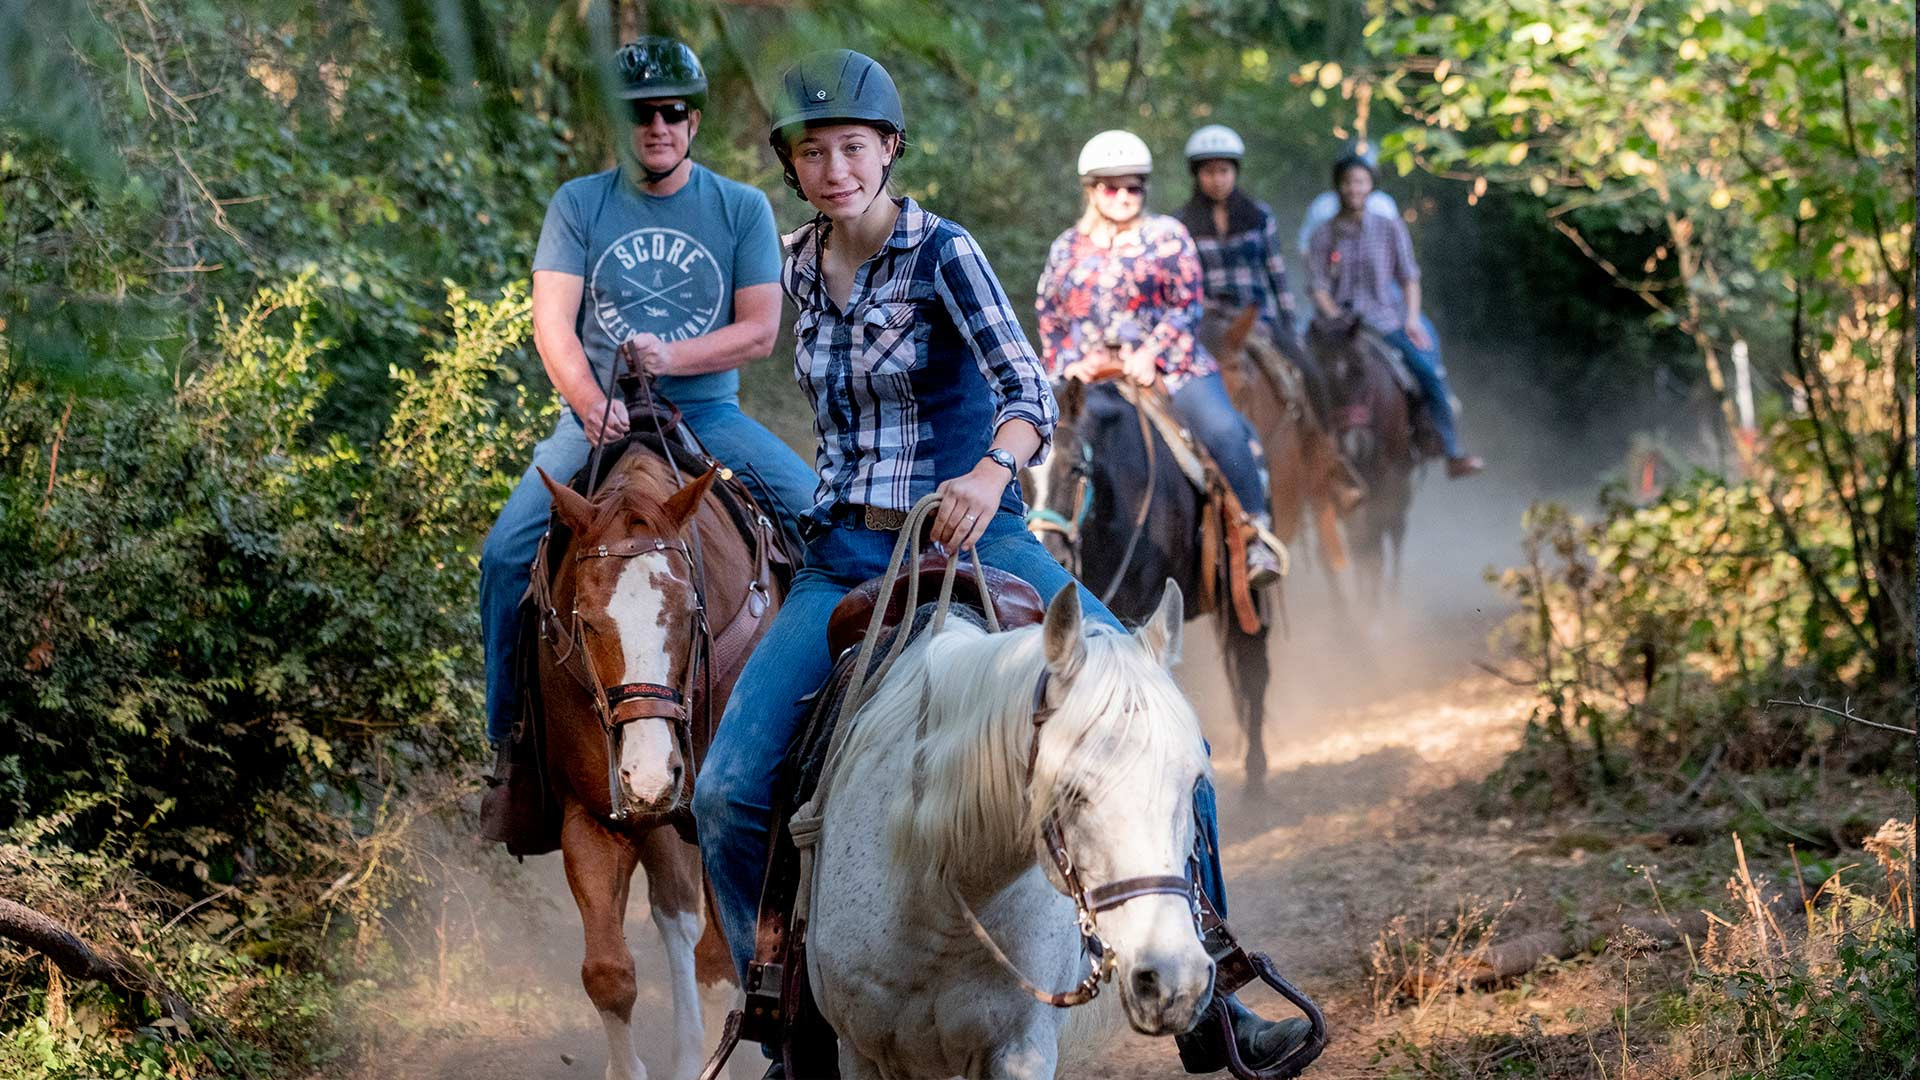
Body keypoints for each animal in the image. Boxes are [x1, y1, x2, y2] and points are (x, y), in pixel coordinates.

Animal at [533, 449, 779, 1076]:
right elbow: (608, 974)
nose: (649, 774)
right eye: (587, 621)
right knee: (676, 916)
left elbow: (726, 964)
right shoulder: (594, 819)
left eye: (690, 613)